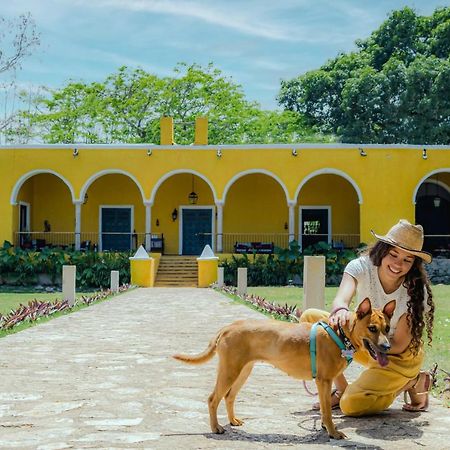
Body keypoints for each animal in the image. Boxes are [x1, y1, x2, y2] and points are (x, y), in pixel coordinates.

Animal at [174, 298, 396, 440]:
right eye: (372, 328)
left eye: (387, 328)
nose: (387, 347)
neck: (340, 334)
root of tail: (228, 327)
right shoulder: (323, 381)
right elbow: (326, 411)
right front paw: (332, 432)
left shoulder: (326, 382)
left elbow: (324, 410)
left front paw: (326, 428)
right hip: (230, 371)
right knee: (213, 399)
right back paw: (216, 428)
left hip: (242, 372)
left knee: (229, 396)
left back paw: (233, 421)